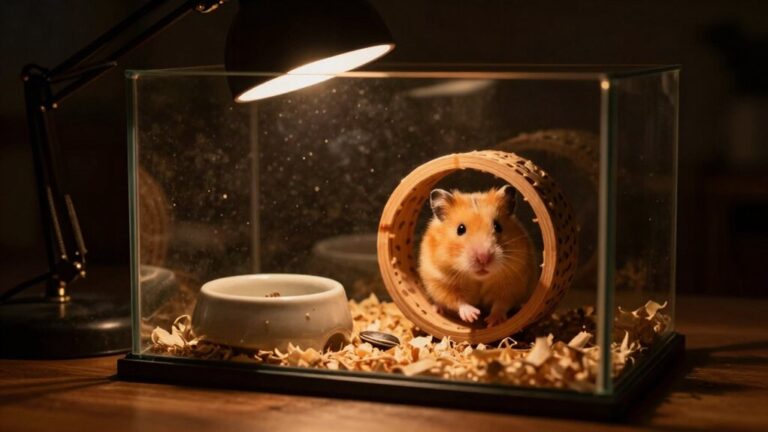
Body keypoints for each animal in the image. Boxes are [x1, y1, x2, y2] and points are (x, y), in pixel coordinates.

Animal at [418, 185, 536, 327]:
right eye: (460, 229)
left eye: (497, 226)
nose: (483, 258)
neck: (478, 278)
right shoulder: (440, 280)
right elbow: (457, 300)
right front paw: (473, 315)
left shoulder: (512, 282)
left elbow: (501, 303)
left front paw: (492, 321)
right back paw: (437, 309)